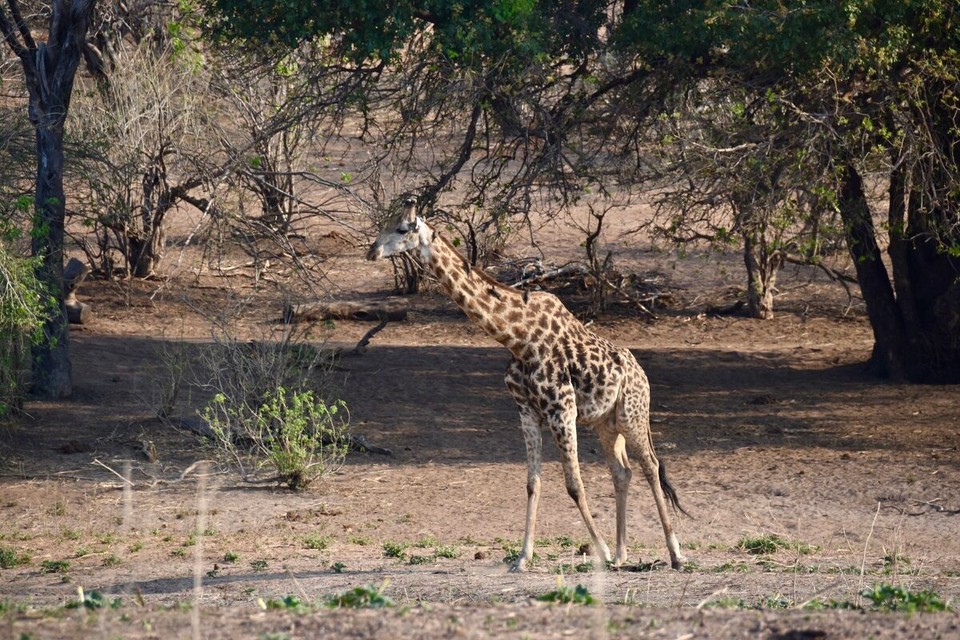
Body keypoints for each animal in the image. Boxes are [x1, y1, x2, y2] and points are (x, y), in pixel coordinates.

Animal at [367, 199, 687, 571]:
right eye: (385, 225)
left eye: (402, 228)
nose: (373, 250)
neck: (517, 339)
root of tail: (642, 375)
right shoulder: (526, 411)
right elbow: (533, 483)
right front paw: (523, 557)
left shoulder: (561, 410)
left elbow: (574, 485)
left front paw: (601, 551)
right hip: (605, 423)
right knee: (621, 471)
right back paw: (623, 555)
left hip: (631, 415)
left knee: (651, 466)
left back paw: (675, 554)